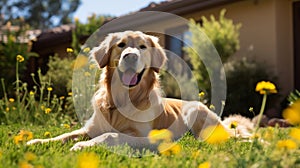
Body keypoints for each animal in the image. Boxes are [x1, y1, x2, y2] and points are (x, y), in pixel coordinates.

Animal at [27, 31, 252, 151]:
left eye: (143, 47)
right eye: (121, 45)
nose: (131, 56)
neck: (120, 101)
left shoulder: (144, 137)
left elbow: (110, 135)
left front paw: (83, 146)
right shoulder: (90, 128)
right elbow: (64, 135)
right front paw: (37, 141)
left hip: (197, 116)